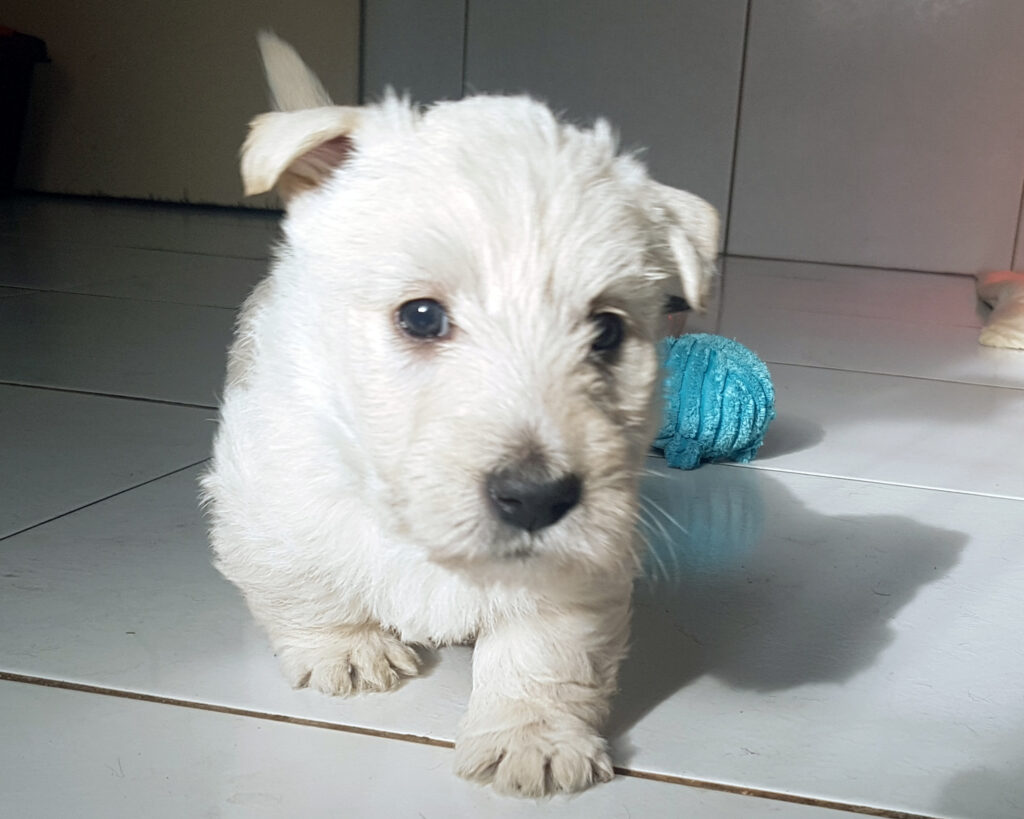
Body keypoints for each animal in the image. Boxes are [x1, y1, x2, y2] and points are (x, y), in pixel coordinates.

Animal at [201, 35, 720, 798]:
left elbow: (547, 646)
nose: (536, 497)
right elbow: (300, 578)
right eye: (421, 315)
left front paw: (531, 737)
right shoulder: (271, 493)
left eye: (606, 331)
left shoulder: (576, 560)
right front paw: (346, 649)